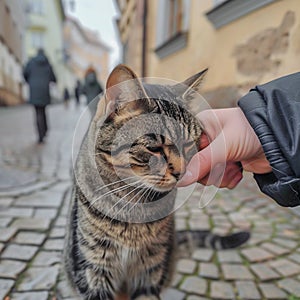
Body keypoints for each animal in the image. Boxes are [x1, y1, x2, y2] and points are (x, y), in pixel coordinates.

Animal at [64, 65, 250, 300]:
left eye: (188, 144)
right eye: (154, 148)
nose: (181, 172)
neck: (135, 205)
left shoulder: (151, 267)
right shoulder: (94, 268)